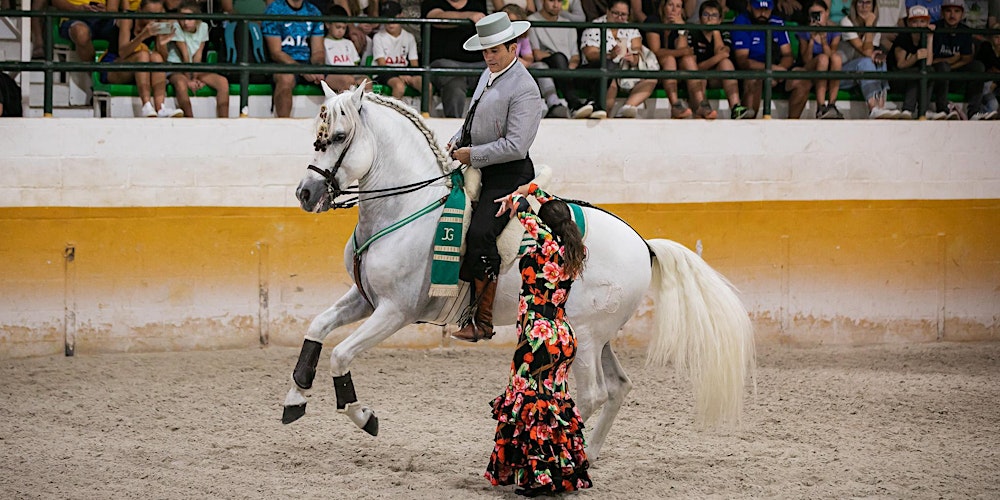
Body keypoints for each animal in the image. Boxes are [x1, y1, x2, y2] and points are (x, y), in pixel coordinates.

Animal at [282, 83, 756, 460]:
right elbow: (317, 328)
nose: (305, 193)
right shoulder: (365, 298)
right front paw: (295, 398)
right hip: (597, 335)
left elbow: (341, 354)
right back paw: (591, 454)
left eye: (338, 137)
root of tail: (643, 244)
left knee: (594, 394)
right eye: (317, 138)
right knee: (620, 387)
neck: (406, 208)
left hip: (586, 336)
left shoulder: (395, 311)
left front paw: (364, 415)